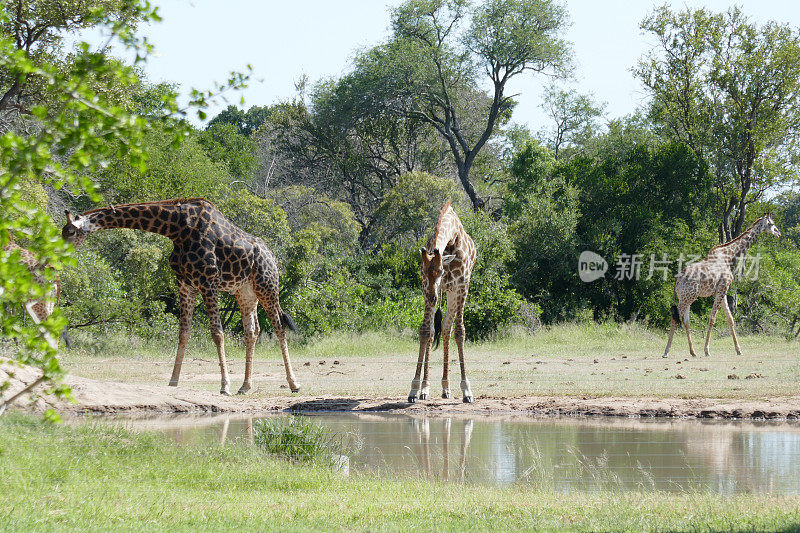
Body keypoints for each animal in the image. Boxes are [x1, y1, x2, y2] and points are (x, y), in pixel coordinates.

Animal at [62, 197, 300, 392]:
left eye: (70, 232)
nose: (59, 251)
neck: (177, 229)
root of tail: (273, 257)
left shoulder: (208, 282)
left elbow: (217, 333)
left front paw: (224, 386)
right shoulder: (185, 284)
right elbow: (184, 333)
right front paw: (173, 381)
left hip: (267, 286)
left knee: (279, 326)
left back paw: (293, 383)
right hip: (245, 292)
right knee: (252, 331)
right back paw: (246, 386)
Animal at [406, 202, 476, 402]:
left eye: (441, 271)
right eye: (424, 271)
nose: (432, 297)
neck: (451, 240)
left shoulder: (461, 285)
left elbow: (460, 332)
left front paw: (467, 390)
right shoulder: (426, 286)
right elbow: (425, 331)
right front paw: (416, 389)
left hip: (452, 293)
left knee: (446, 328)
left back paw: (447, 387)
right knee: (437, 329)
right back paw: (431, 388)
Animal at [664, 213, 780, 358]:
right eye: (771, 223)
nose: (778, 233)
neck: (729, 257)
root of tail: (677, 280)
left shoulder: (722, 291)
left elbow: (730, 319)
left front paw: (738, 350)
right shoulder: (722, 289)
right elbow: (712, 318)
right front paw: (707, 350)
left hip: (686, 297)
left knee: (685, 321)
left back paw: (692, 352)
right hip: (687, 297)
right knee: (675, 318)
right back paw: (666, 351)